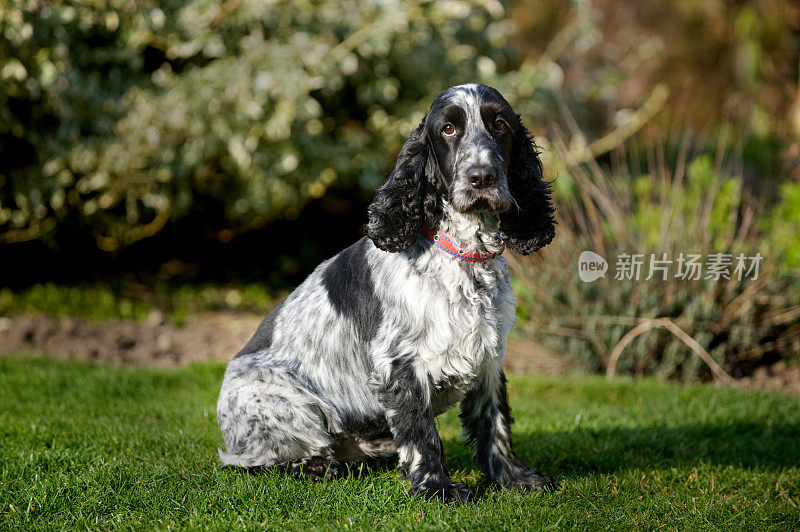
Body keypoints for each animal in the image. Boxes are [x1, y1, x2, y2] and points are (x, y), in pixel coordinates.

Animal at [217, 83, 556, 502]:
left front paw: (514, 479)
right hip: (284, 404)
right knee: (258, 461)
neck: (464, 258)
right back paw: (317, 467)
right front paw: (437, 488)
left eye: (500, 124)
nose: (482, 177)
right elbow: (423, 436)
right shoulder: (401, 363)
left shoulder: (488, 358)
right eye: (448, 129)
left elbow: (495, 427)